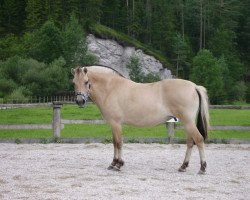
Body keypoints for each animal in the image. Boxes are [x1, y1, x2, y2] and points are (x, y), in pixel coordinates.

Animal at [71, 65, 210, 173]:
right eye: (74, 82)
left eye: (86, 81)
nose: (80, 101)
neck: (111, 88)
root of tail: (194, 86)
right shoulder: (113, 124)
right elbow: (114, 143)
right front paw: (113, 163)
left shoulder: (116, 123)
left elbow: (119, 143)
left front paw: (118, 164)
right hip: (187, 123)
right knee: (190, 142)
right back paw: (183, 166)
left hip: (188, 122)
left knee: (199, 140)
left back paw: (202, 168)